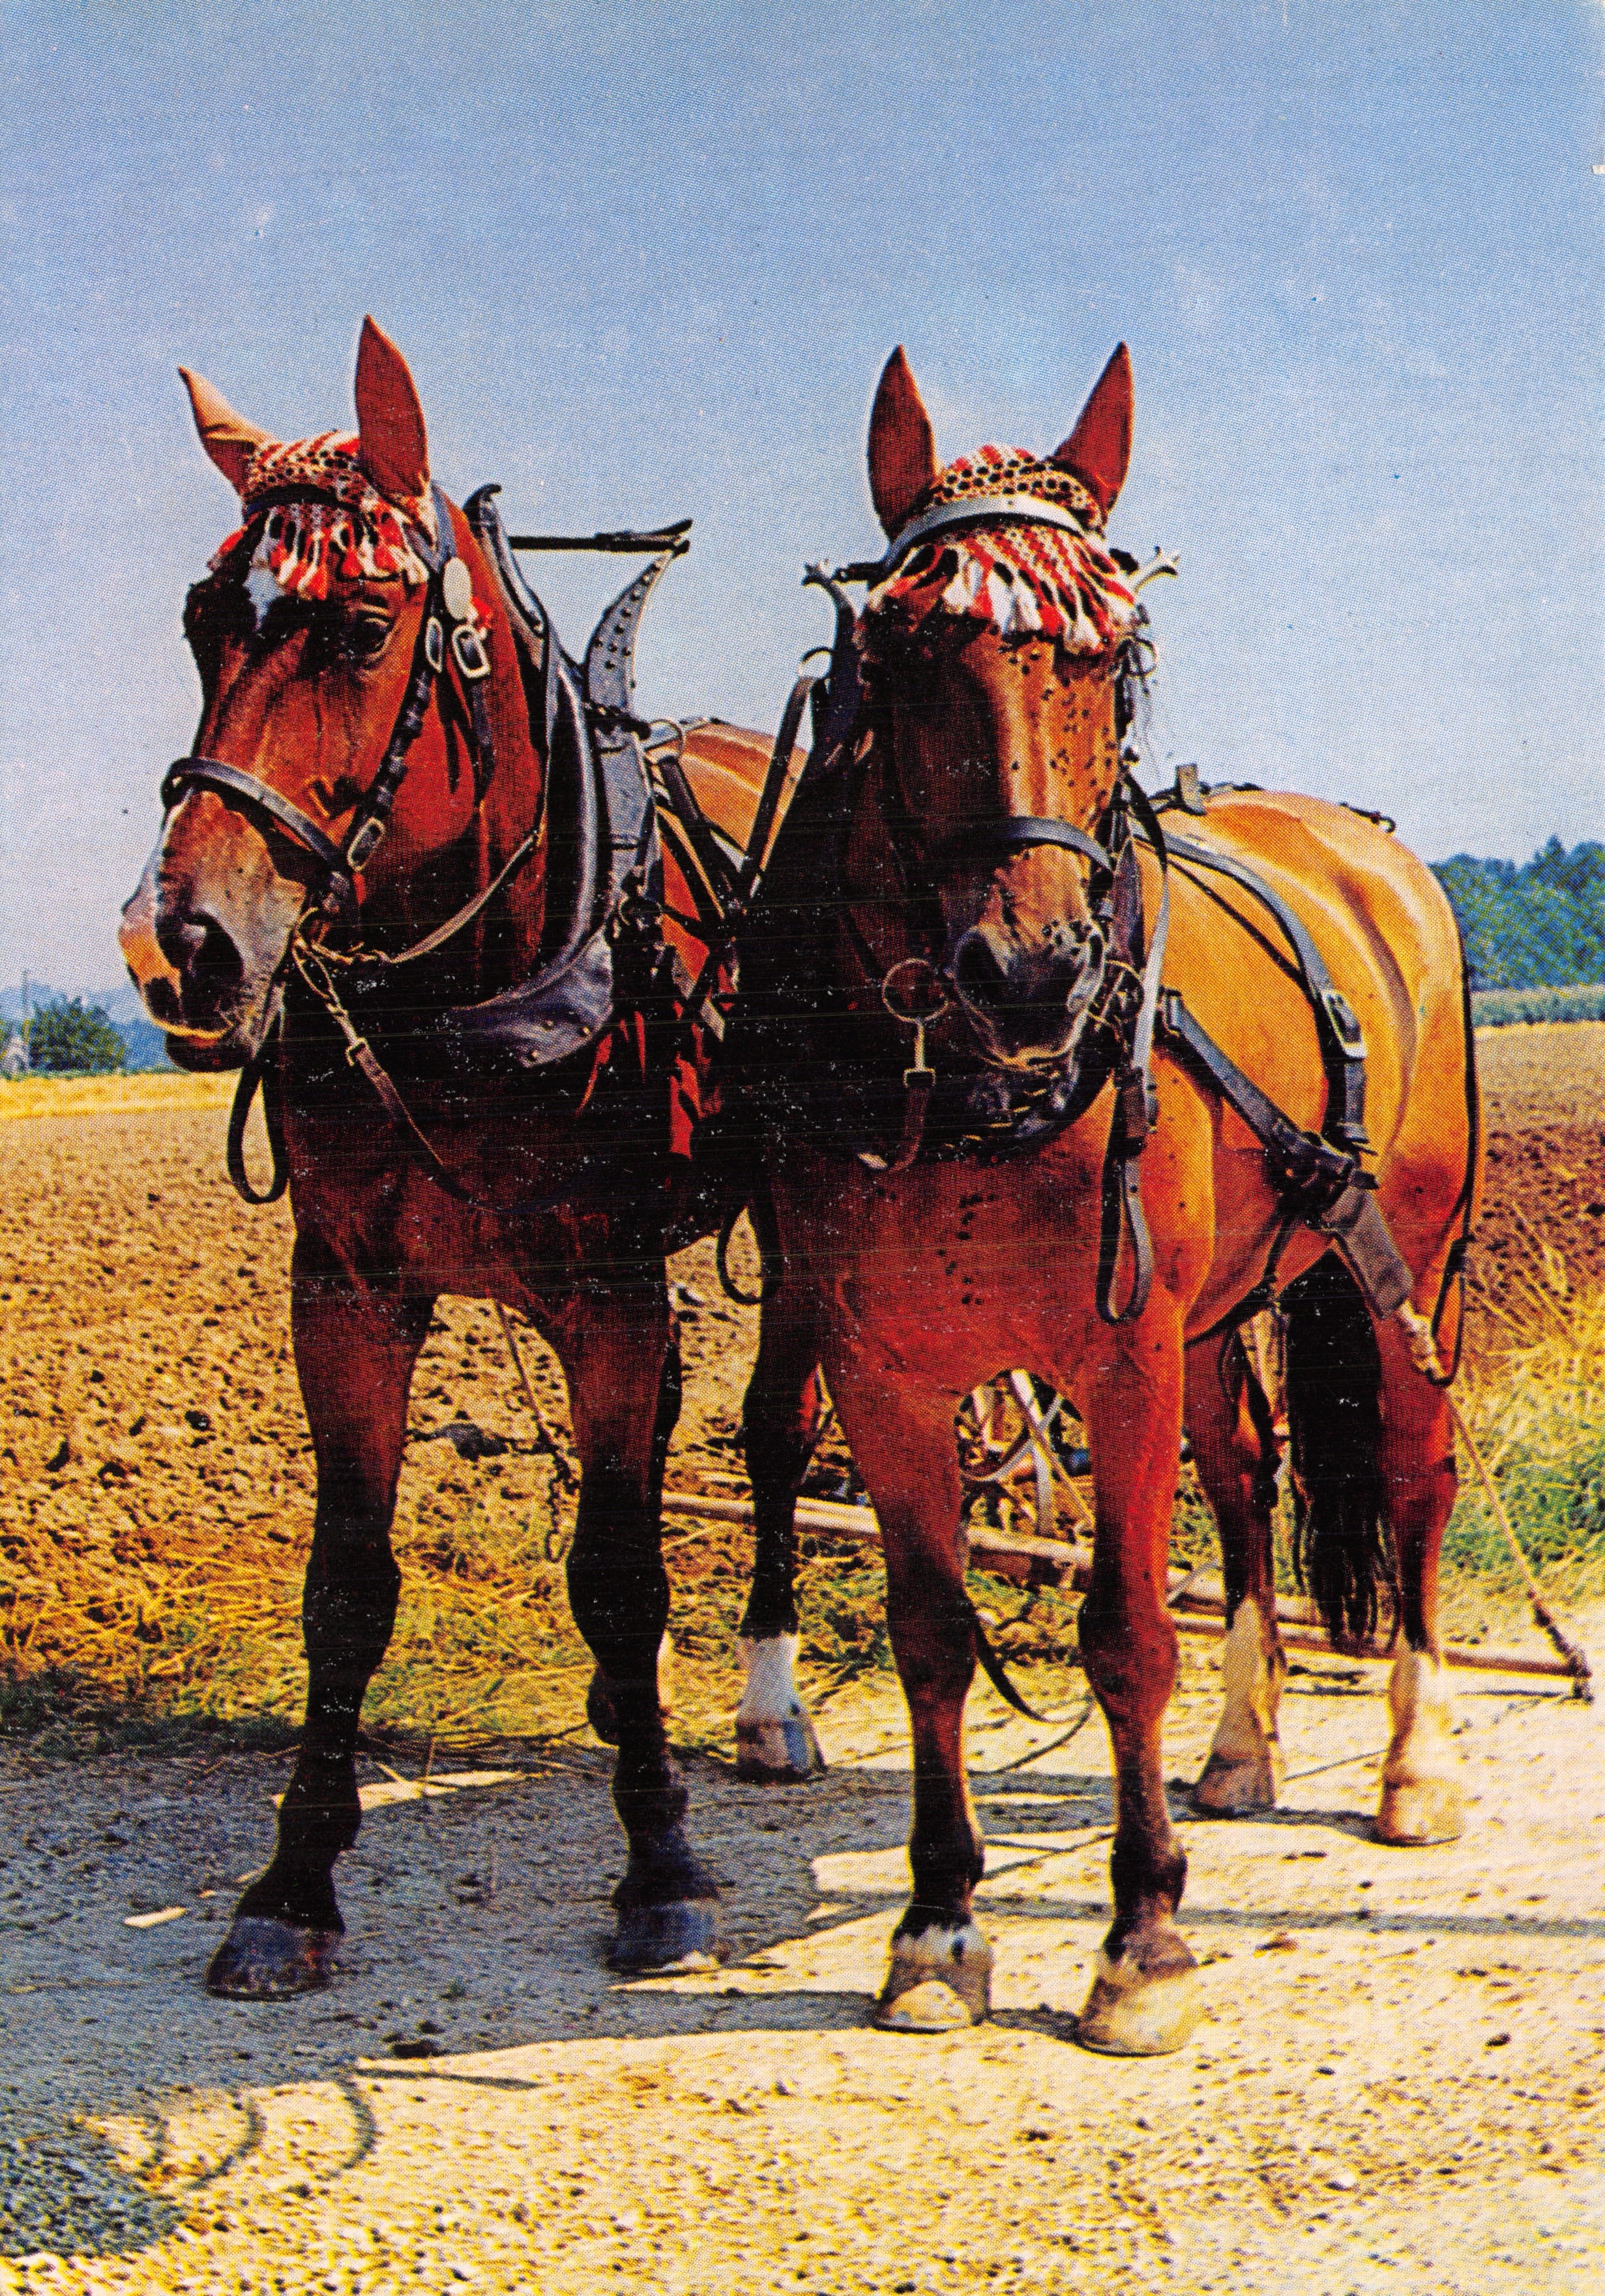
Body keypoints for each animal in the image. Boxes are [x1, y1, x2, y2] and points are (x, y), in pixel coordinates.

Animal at [117, 317, 826, 1996]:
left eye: (366, 623)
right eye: (203, 617)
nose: (180, 946)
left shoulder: (613, 1296)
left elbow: (622, 1572)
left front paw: (660, 1863)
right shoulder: (347, 1293)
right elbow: (347, 1588)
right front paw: (292, 1883)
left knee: (775, 1431)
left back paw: (765, 1702)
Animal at [731, 340, 1479, 2051]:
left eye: (1113, 654)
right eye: (903, 644)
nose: (1031, 969)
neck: (973, 1087)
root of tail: (1369, 854)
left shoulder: (1116, 1352)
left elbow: (1127, 1634)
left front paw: (1140, 1943)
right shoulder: (883, 1366)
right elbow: (935, 1636)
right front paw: (937, 1929)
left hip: (1403, 1255)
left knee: (1412, 1468)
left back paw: (1410, 1763)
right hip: (1210, 1310)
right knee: (1245, 1473)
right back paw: (1243, 1752)